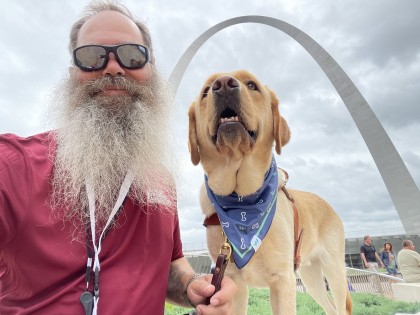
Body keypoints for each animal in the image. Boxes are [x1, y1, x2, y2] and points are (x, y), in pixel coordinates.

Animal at [187, 70, 352, 314]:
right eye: (206, 91)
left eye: (251, 85)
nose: (223, 84)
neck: (242, 202)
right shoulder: (232, 283)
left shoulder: (283, 281)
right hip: (310, 275)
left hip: (334, 270)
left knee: (340, 306)